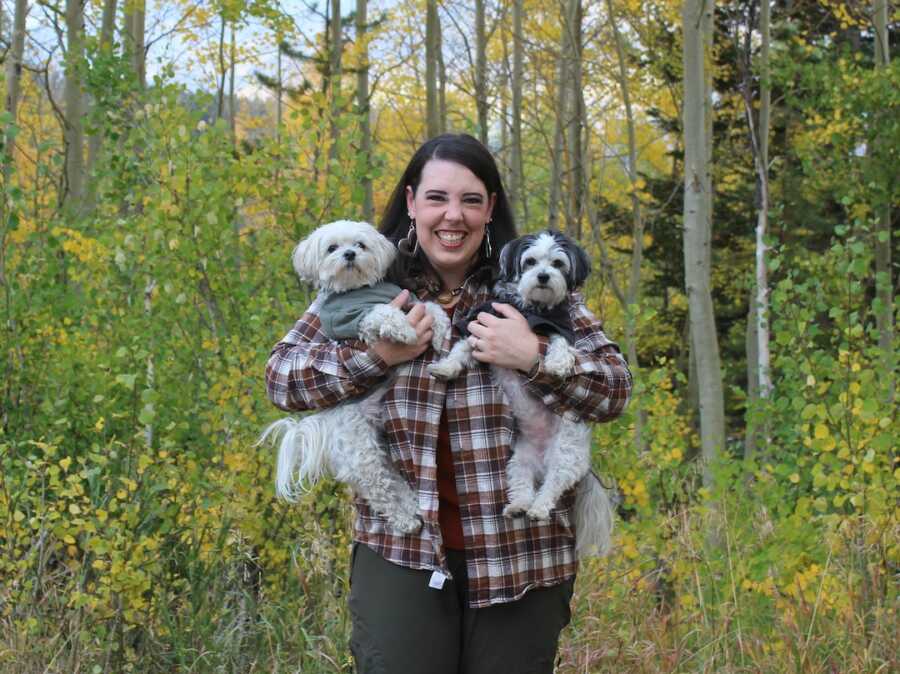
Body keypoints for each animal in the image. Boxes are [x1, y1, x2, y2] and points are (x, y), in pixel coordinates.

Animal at [260, 220, 450, 532]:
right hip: (360, 451)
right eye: (332, 248)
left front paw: (441, 330)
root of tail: (327, 428)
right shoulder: (356, 319)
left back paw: (411, 506)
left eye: (360, 245)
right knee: (378, 488)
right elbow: (383, 313)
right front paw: (406, 331)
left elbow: (430, 307)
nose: (349, 254)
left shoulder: (409, 300)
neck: (357, 289)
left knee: (392, 480)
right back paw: (406, 521)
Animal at [428, 231, 612, 556]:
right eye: (530, 261)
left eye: (558, 263)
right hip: (518, 462)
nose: (543, 276)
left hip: (565, 456)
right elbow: (461, 349)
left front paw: (557, 362)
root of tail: (542, 460)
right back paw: (518, 507)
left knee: (551, 488)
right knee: (523, 486)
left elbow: (559, 343)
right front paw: (446, 367)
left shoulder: (560, 327)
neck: (530, 309)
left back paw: (538, 509)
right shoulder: (482, 322)